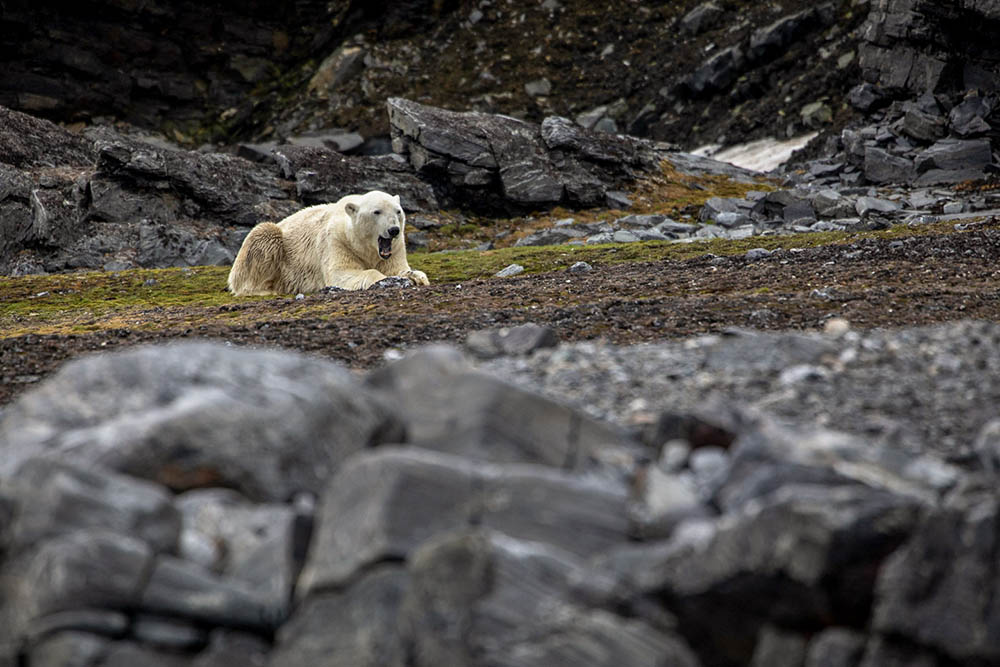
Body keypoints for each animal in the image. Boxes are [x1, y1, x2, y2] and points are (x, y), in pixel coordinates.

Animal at [227, 190, 430, 294]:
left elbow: (397, 268)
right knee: (263, 235)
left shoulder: (396, 247)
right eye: (377, 211)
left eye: (398, 211)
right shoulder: (336, 241)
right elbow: (342, 273)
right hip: (271, 245)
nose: (394, 230)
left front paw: (415, 276)